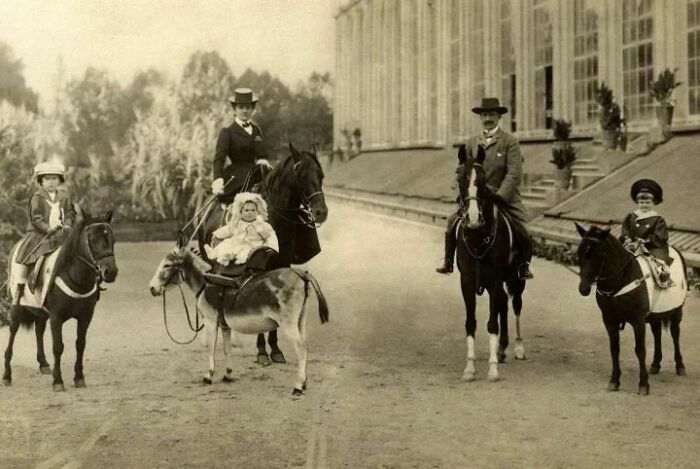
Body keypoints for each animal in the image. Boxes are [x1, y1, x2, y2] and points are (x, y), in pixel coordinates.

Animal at [4, 209, 117, 392]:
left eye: (113, 240)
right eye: (92, 240)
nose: (111, 272)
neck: (76, 278)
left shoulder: (85, 317)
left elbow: (80, 344)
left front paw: (79, 378)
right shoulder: (56, 318)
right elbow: (58, 347)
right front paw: (58, 381)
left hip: (41, 312)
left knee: (39, 330)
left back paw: (43, 364)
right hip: (16, 307)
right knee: (12, 332)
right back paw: (7, 375)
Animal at [197, 144, 328, 366]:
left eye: (321, 175)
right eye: (301, 175)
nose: (321, 212)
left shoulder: (282, 263)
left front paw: (275, 349)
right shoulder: (260, 266)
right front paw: (261, 351)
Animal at [454, 145, 524, 380]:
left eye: (483, 180)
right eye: (460, 178)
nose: (473, 218)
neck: (478, 237)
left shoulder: (494, 280)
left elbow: (492, 323)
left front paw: (492, 369)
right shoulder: (466, 281)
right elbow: (470, 323)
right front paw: (469, 367)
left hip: (517, 280)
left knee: (515, 304)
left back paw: (518, 347)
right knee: (503, 303)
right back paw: (502, 349)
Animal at [576, 224, 688, 394]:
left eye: (599, 253)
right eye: (580, 252)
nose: (583, 288)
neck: (622, 279)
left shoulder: (638, 321)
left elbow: (640, 350)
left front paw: (643, 384)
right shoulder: (609, 320)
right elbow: (614, 349)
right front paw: (614, 381)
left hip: (676, 311)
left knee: (675, 334)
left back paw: (680, 366)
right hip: (654, 315)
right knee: (657, 333)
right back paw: (655, 364)